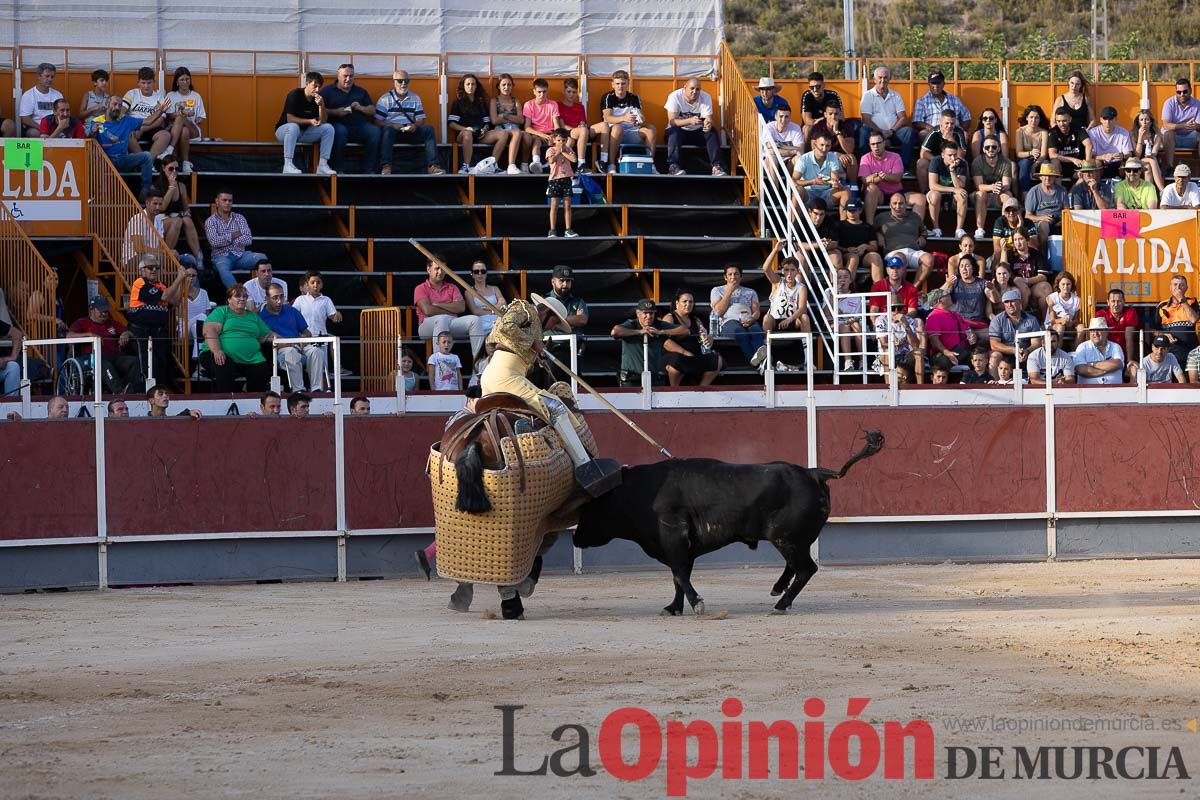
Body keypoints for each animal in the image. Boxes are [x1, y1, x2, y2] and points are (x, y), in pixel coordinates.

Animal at [571, 431, 883, 614]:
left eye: (589, 510)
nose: (575, 537)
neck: (638, 493)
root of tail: (814, 472)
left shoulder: (674, 538)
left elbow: (679, 574)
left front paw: (696, 604)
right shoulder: (684, 547)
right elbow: (678, 576)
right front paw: (673, 607)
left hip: (786, 537)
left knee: (806, 568)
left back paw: (780, 604)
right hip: (792, 538)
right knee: (796, 566)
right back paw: (778, 590)